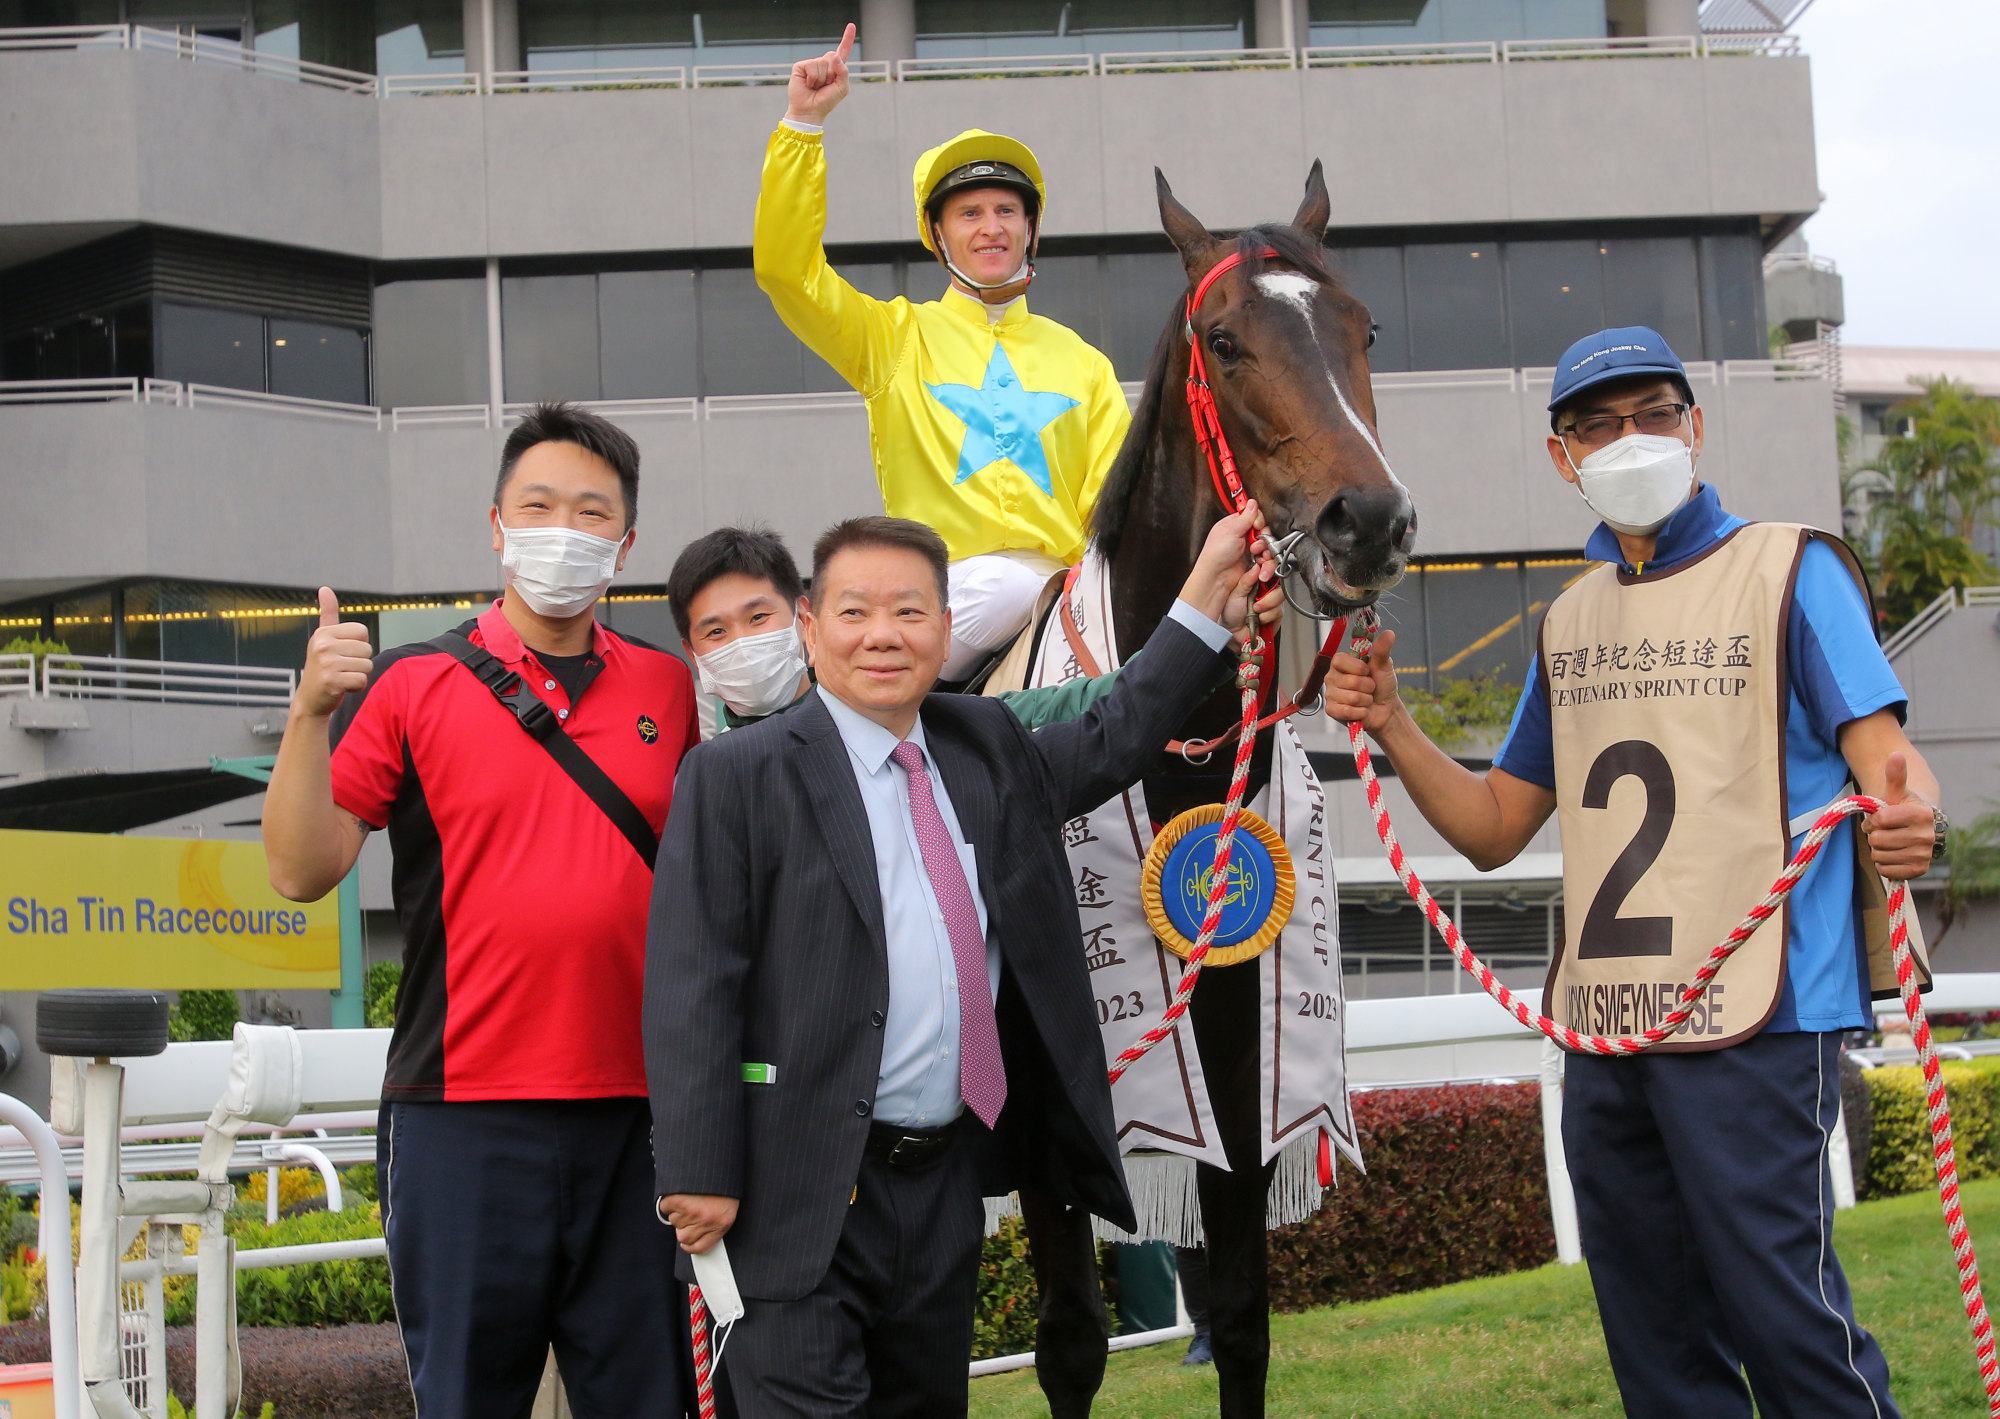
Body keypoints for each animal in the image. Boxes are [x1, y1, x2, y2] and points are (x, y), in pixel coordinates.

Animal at [1016, 160, 1424, 1415]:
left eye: (1364, 328)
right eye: (1225, 339)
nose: (1368, 520)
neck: (1158, 742)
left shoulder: (1247, 1063)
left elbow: (1241, 1321)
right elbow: (1068, 1343)